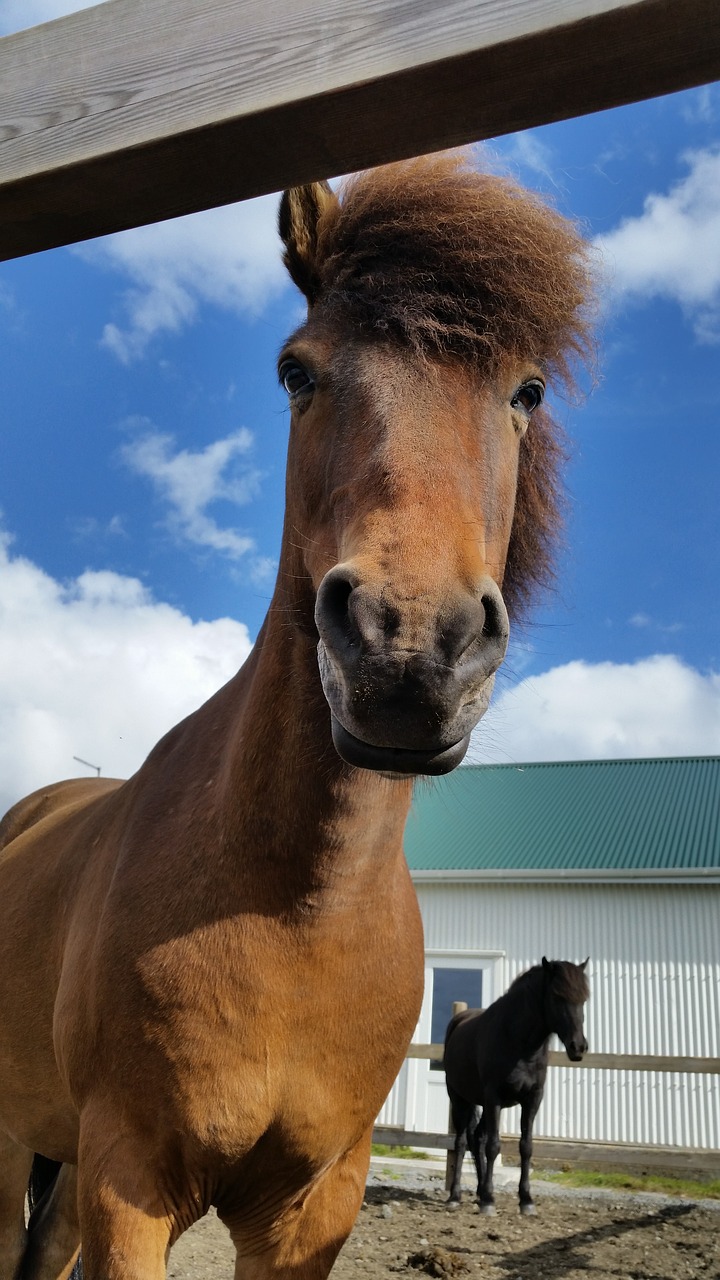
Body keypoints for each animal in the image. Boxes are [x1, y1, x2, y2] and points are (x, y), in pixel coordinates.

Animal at [443, 957, 589, 1213]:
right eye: (557, 996)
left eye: (583, 999)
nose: (578, 1047)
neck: (518, 1043)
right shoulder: (494, 1098)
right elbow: (494, 1146)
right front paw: (489, 1202)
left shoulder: (532, 1099)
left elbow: (526, 1147)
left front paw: (526, 1200)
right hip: (459, 1098)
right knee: (461, 1143)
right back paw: (455, 1196)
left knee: (476, 1138)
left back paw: (479, 1191)